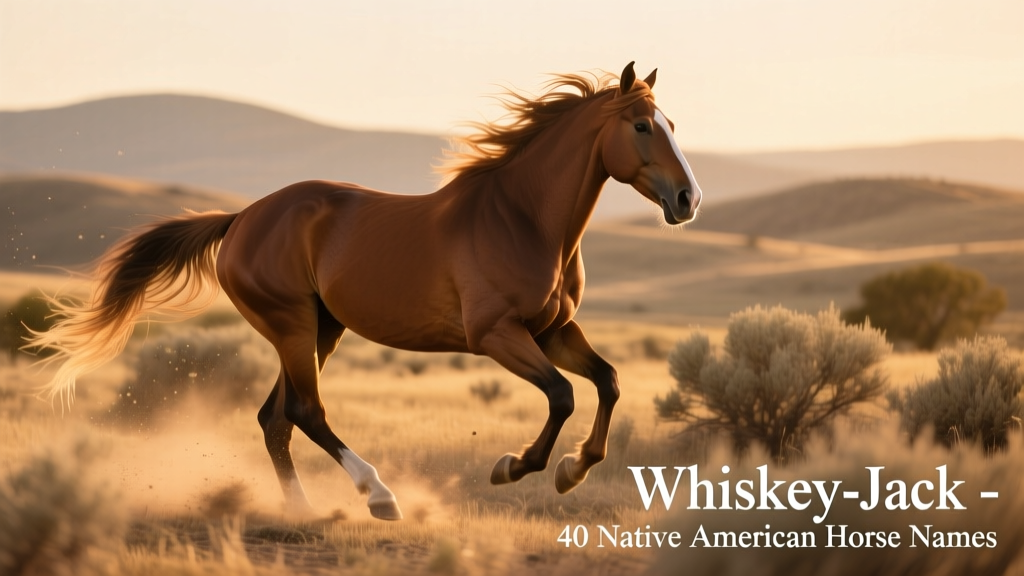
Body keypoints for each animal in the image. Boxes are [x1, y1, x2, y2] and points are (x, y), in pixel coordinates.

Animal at [32, 61, 702, 520]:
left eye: (672, 123)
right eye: (643, 126)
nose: (688, 199)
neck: (523, 220)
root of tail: (242, 218)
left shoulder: (554, 330)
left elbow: (607, 382)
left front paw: (571, 471)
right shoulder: (496, 335)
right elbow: (562, 395)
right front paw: (514, 467)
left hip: (322, 329)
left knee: (275, 419)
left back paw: (302, 510)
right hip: (294, 326)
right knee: (304, 412)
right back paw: (379, 496)